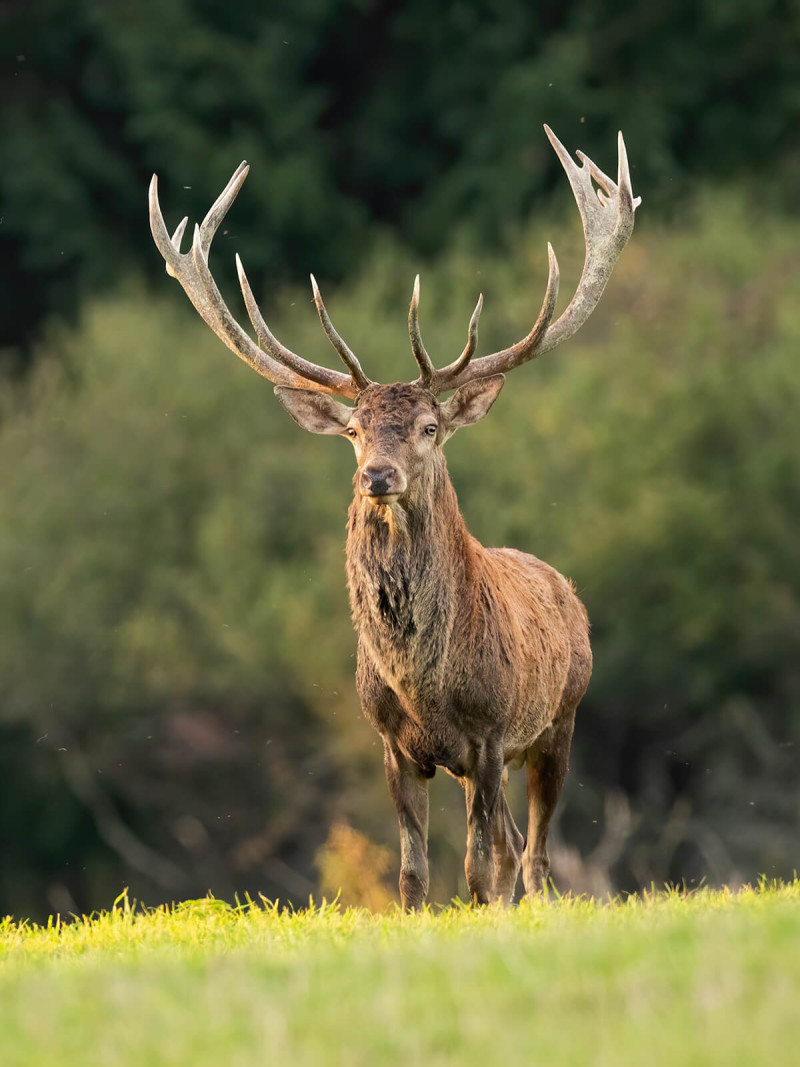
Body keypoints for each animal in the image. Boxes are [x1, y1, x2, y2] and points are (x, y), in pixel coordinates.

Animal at [149, 126, 639, 908]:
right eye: (354, 429)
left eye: (430, 428)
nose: (376, 475)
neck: (424, 686)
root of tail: (563, 586)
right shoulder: (392, 744)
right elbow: (413, 872)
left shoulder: (491, 737)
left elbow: (478, 870)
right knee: (512, 846)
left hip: (559, 720)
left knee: (531, 854)